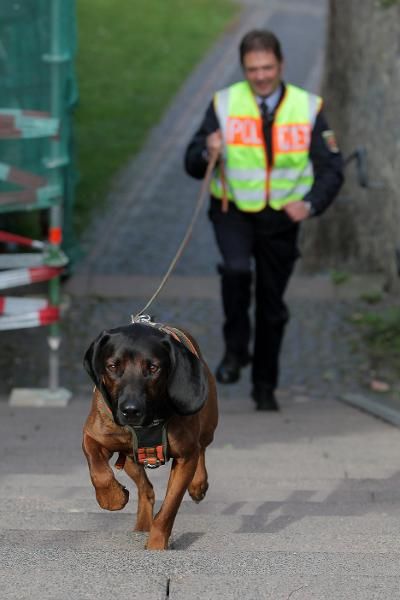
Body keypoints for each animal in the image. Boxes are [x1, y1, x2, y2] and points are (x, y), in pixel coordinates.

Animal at [82, 322, 219, 552]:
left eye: (153, 368)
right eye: (113, 366)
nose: (130, 410)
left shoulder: (185, 458)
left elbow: (169, 508)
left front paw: (156, 544)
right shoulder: (92, 436)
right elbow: (99, 472)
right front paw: (112, 498)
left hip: (208, 422)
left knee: (202, 446)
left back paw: (198, 484)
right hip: (130, 458)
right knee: (146, 488)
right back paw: (142, 524)